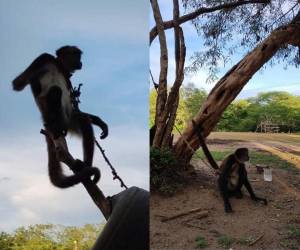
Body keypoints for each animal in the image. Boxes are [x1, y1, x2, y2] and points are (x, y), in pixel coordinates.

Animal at [13, 46, 109, 188]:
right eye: (77, 56)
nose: (81, 63)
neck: (58, 66)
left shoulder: (67, 77)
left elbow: (75, 109)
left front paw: (99, 121)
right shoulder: (43, 58)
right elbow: (18, 84)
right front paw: (34, 80)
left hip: (69, 120)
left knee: (82, 120)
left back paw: (85, 165)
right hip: (52, 114)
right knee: (55, 91)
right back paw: (55, 126)